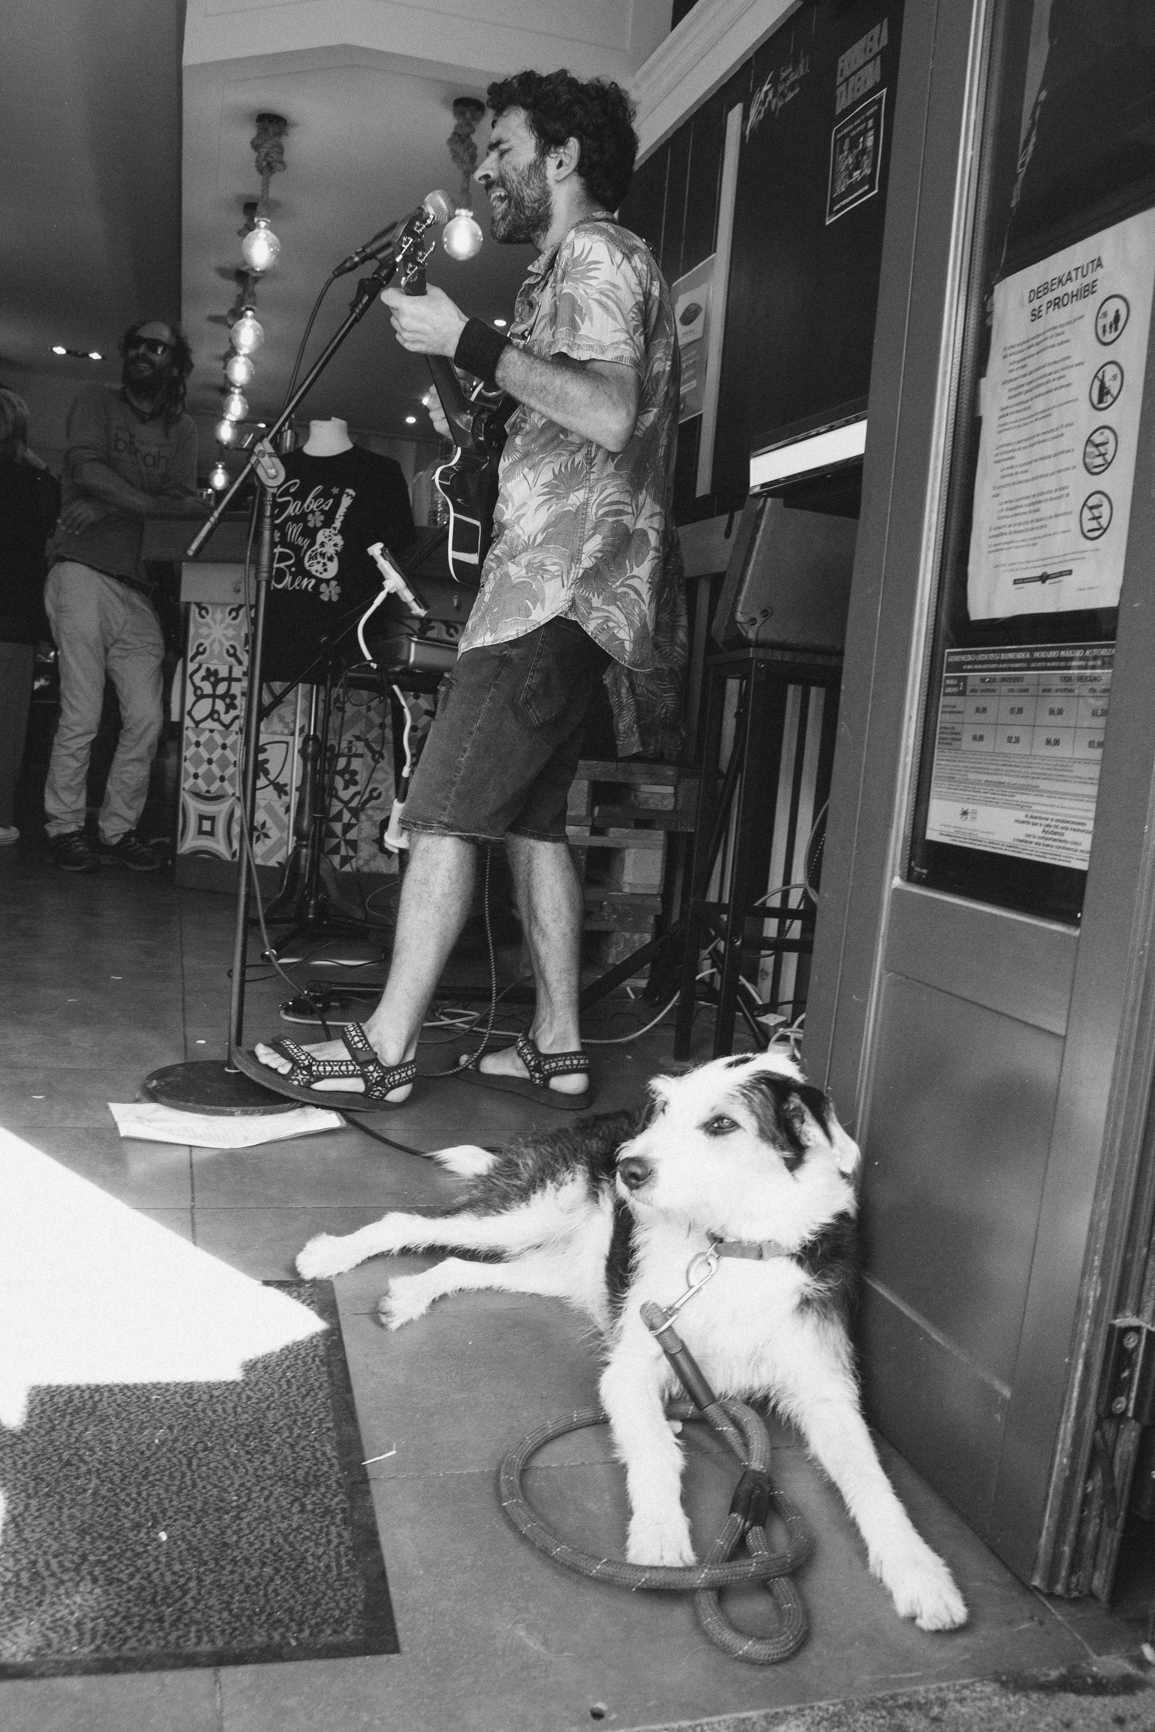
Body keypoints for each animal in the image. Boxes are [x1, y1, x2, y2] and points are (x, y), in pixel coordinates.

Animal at [297, 1049, 967, 1631]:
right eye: (664, 1110)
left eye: (722, 1124)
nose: (626, 1168)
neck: (735, 1248)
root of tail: (592, 1123)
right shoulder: (635, 1361)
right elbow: (652, 1447)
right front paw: (662, 1533)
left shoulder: (825, 1391)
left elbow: (874, 1480)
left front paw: (921, 1573)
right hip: (527, 1213)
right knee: (407, 1222)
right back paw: (330, 1255)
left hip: (564, 1267)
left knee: (461, 1264)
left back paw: (410, 1295)